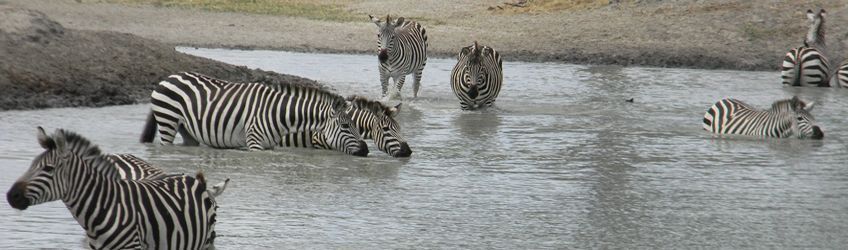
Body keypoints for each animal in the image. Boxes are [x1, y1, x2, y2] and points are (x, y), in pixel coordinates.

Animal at [7, 128, 222, 249]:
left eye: (48, 169)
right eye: (32, 164)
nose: (11, 196)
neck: (104, 206)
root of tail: (191, 177)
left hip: (198, 242)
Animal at [139, 71, 368, 155]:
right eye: (346, 126)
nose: (366, 150)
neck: (280, 115)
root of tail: (168, 77)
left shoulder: (270, 145)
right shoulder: (255, 143)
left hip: (187, 130)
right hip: (168, 121)